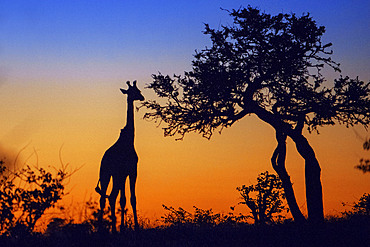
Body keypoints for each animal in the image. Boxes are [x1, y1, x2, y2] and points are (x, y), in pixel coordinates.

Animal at [95, 80, 145, 233]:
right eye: (135, 91)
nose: (142, 97)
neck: (129, 140)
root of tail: (104, 159)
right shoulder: (132, 171)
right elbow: (131, 198)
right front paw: (136, 227)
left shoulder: (125, 173)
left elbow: (123, 200)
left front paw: (123, 227)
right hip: (108, 175)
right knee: (109, 196)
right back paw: (108, 229)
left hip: (107, 174)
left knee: (107, 197)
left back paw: (105, 229)